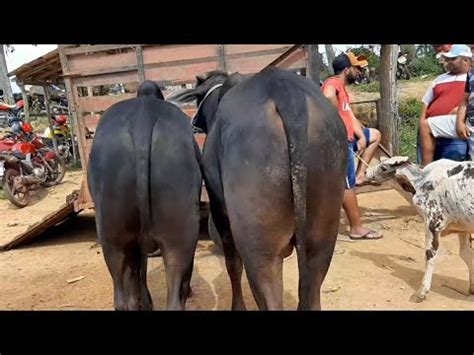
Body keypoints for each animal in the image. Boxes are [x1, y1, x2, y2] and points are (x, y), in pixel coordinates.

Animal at [170, 68, 348, 310]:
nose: (194, 122)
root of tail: (286, 93)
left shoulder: (220, 211)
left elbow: (233, 264)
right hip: (322, 235)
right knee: (312, 289)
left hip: (259, 244)